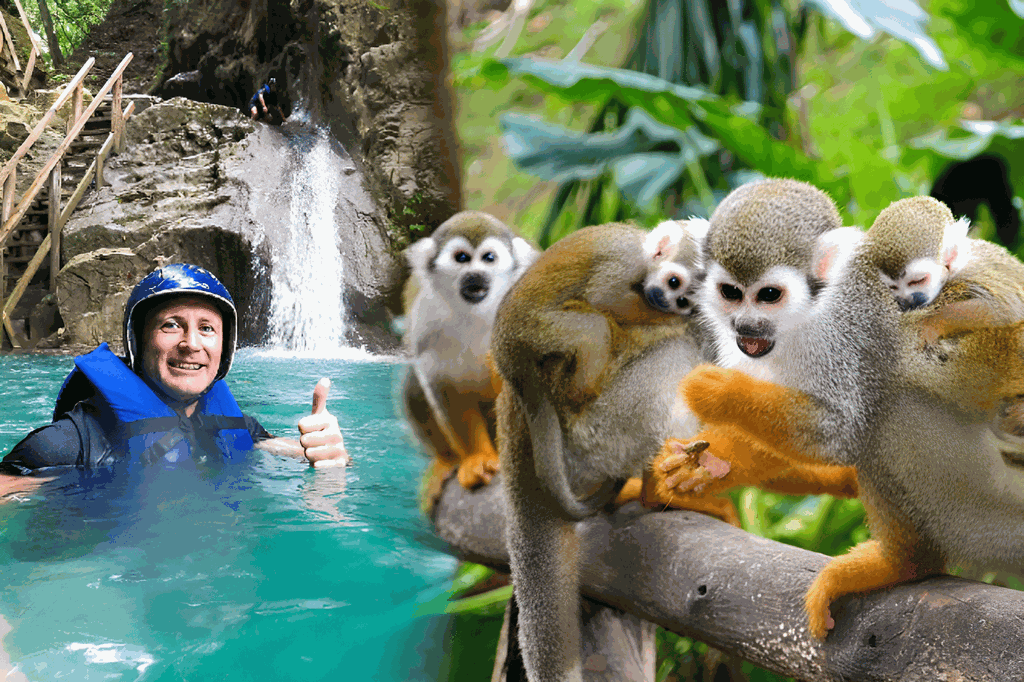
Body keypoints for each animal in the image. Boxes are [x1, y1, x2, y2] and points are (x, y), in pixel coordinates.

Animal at [401, 211, 538, 509]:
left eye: (489, 258)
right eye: (462, 258)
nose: (476, 274)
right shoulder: (426, 323)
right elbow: (442, 383)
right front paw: (478, 459)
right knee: (414, 384)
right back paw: (447, 460)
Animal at [490, 221, 717, 682]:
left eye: (684, 296)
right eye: (674, 283)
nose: (670, 303)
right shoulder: (619, 276)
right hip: (592, 424)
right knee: (613, 335)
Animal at [669, 194, 1024, 639]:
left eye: (769, 295)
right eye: (730, 292)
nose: (746, 326)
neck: (807, 316)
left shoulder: (847, 334)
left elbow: (840, 432)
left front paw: (720, 393)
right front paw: (702, 466)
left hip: (981, 502)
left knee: (884, 407)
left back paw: (905, 562)